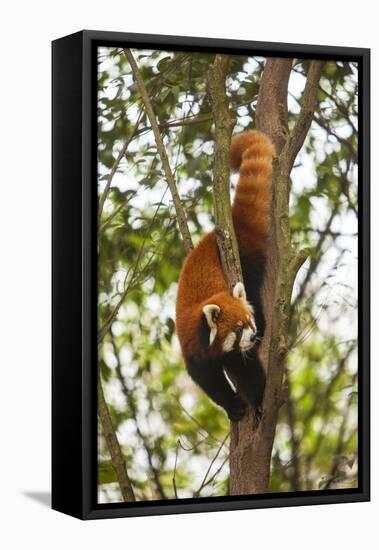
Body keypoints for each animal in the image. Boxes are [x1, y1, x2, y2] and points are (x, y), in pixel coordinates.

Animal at [177, 130, 274, 422]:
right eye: (238, 329)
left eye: (248, 321)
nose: (252, 336)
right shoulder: (194, 350)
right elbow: (208, 382)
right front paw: (233, 406)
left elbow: (247, 369)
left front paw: (258, 400)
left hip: (249, 262)